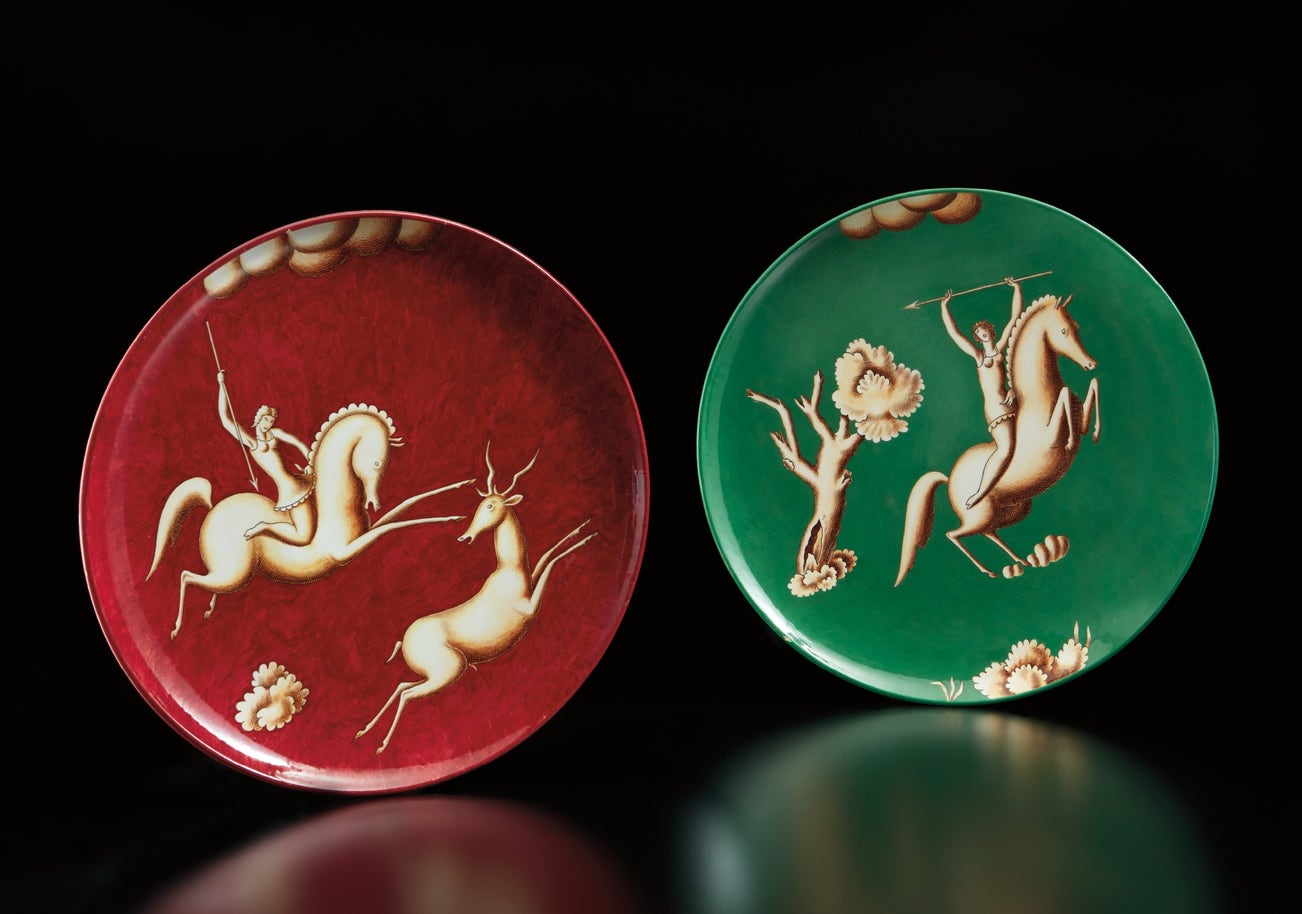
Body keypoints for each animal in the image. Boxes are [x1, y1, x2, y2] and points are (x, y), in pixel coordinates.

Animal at [147, 403, 475, 638]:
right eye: (377, 462)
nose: (374, 502)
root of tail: (213, 507)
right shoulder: (349, 550)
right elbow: (396, 524)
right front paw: (452, 516)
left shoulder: (367, 532)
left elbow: (407, 505)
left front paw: (463, 487)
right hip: (232, 574)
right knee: (186, 576)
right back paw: (176, 628)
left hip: (232, 576)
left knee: (206, 582)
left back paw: (208, 609)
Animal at [355, 443, 597, 755]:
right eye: (482, 505)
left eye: (490, 506)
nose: (465, 536)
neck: (510, 570)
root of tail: (404, 640)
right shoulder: (530, 608)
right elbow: (552, 561)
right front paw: (586, 537)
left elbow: (546, 556)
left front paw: (583, 527)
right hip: (448, 673)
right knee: (407, 694)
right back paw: (382, 745)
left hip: (434, 674)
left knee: (400, 687)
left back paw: (364, 731)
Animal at [896, 294, 1101, 583]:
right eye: (1063, 331)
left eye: (1077, 326)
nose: (1091, 363)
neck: (1038, 399)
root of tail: (948, 477)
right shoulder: (1050, 436)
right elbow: (1066, 396)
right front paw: (1072, 439)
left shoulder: (1079, 411)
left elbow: (1089, 388)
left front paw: (1094, 432)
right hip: (978, 516)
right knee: (953, 534)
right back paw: (989, 569)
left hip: (1012, 511)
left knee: (990, 532)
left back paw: (1019, 561)